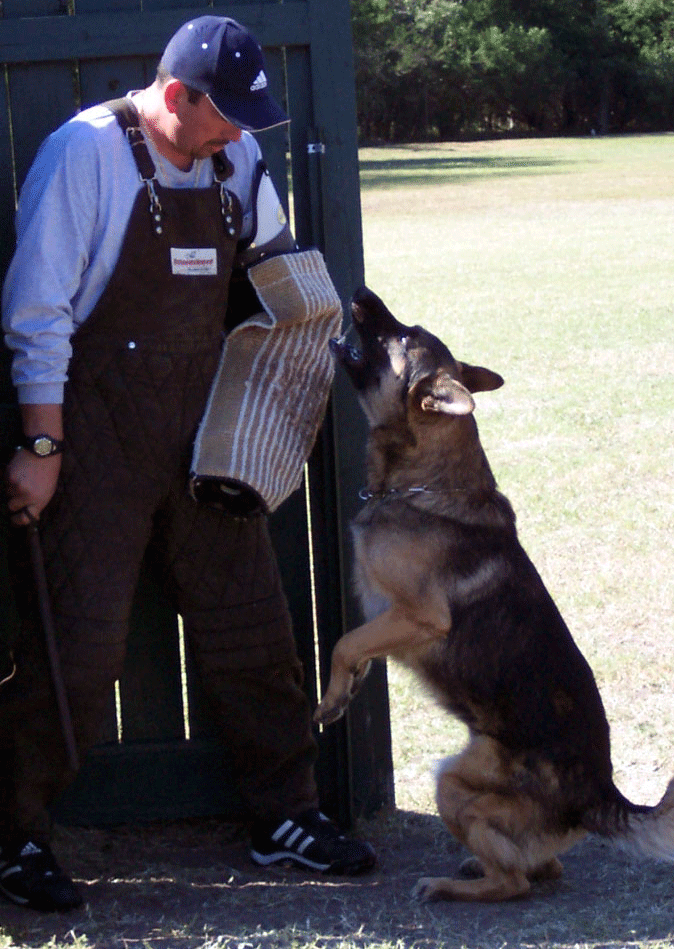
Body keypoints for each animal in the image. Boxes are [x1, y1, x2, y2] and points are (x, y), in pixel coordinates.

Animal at [314, 286, 672, 904]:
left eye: (403, 336)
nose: (359, 293)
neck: (427, 483)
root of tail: (601, 797)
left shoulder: (417, 616)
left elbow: (344, 642)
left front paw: (331, 699)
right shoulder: (387, 621)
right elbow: (354, 649)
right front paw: (347, 689)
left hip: (451, 786)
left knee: (517, 882)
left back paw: (448, 886)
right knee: (542, 869)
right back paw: (473, 868)